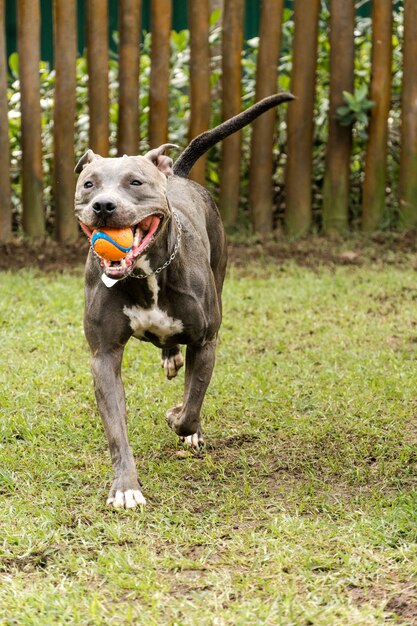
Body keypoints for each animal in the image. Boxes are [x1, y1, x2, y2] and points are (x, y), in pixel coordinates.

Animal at [76, 92, 294, 504]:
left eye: (135, 182)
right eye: (88, 184)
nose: (103, 206)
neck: (146, 273)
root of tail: (175, 173)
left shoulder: (205, 342)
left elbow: (192, 404)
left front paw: (179, 419)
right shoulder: (103, 355)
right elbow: (116, 428)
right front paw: (126, 488)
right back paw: (170, 355)